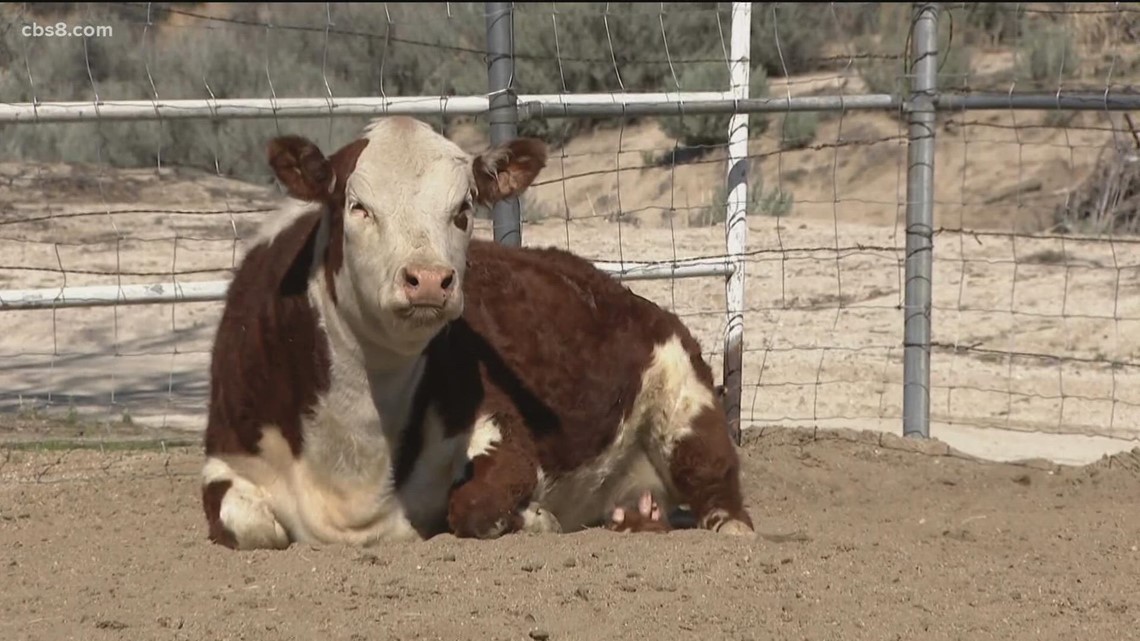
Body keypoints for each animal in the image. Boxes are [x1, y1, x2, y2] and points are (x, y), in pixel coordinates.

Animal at [200, 116, 754, 550]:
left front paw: (535, 517)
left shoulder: (497, 427)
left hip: (686, 402)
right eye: (357, 206)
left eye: (463, 209)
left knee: (721, 499)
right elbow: (246, 523)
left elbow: (475, 506)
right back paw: (636, 518)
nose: (429, 279)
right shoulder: (226, 456)